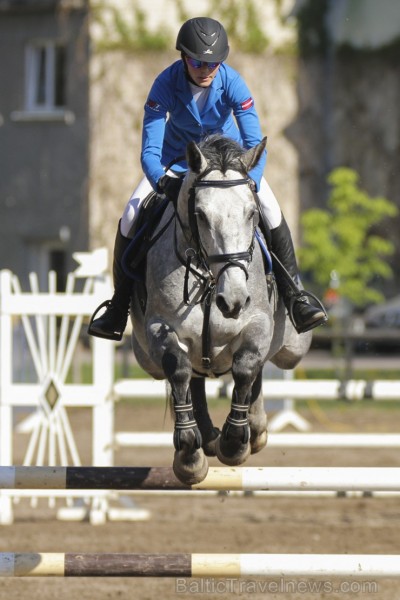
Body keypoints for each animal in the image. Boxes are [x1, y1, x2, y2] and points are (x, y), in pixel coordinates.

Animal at [130, 135, 310, 482]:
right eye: (200, 214)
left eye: (252, 214)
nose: (234, 300)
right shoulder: (160, 327)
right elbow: (179, 370)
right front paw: (190, 453)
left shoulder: (258, 322)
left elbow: (246, 366)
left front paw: (235, 441)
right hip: (149, 356)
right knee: (193, 377)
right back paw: (206, 438)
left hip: (293, 348)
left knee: (260, 365)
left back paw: (253, 429)